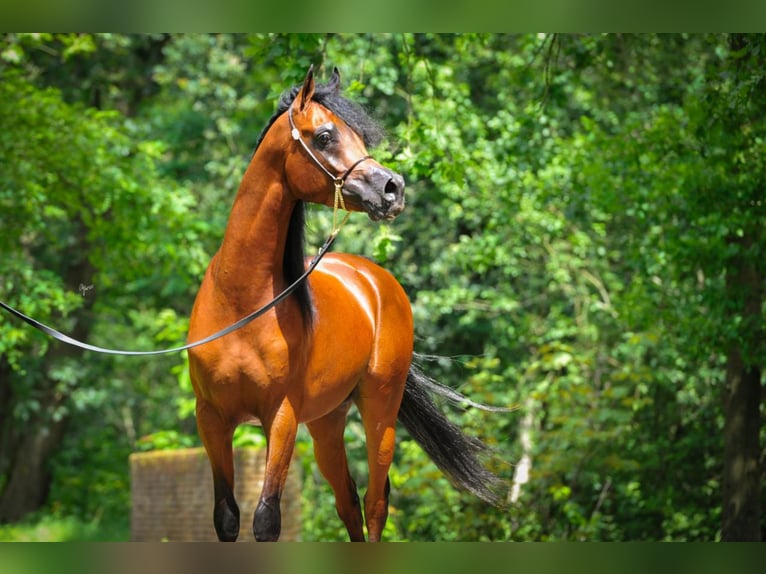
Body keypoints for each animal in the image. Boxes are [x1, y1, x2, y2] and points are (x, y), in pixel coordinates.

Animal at [189, 67, 508, 544]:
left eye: (359, 136)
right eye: (325, 136)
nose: (393, 189)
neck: (241, 303)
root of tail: (375, 280)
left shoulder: (281, 418)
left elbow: (267, 519)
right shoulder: (211, 419)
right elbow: (227, 517)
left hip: (380, 409)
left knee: (375, 504)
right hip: (326, 421)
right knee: (348, 503)